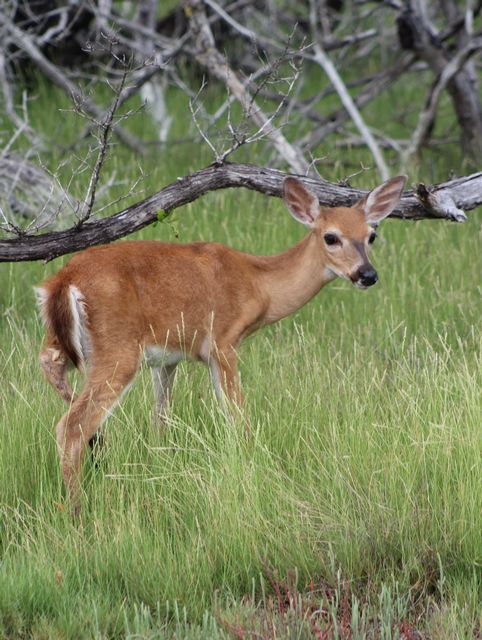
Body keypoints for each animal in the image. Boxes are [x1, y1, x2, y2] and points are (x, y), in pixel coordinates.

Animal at [36, 174, 406, 510]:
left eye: (372, 234)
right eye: (331, 237)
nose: (367, 275)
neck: (259, 285)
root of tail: (63, 280)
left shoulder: (168, 357)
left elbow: (161, 419)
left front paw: (160, 466)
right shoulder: (222, 341)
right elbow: (237, 418)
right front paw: (249, 468)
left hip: (66, 343)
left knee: (50, 367)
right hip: (118, 350)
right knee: (71, 427)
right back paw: (78, 509)